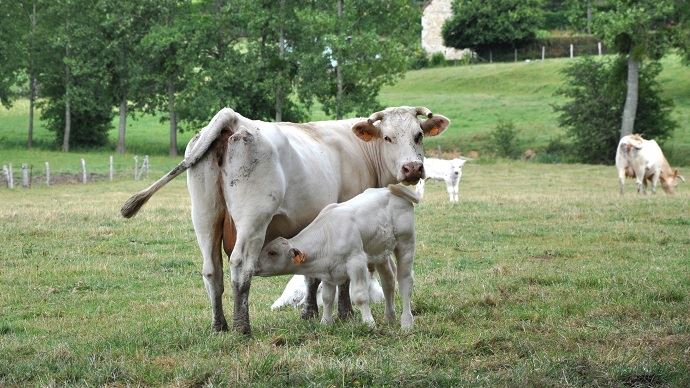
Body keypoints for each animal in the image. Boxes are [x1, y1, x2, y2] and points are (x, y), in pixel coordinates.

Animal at [253, 184, 414, 328]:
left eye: (272, 252)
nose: (254, 266)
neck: (328, 234)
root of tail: (388, 190)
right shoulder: (328, 273)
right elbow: (327, 298)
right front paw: (325, 323)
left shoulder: (356, 262)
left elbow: (360, 296)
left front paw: (369, 323)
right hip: (380, 253)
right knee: (388, 282)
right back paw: (389, 317)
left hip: (406, 244)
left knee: (405, 282)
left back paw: (406, 322)